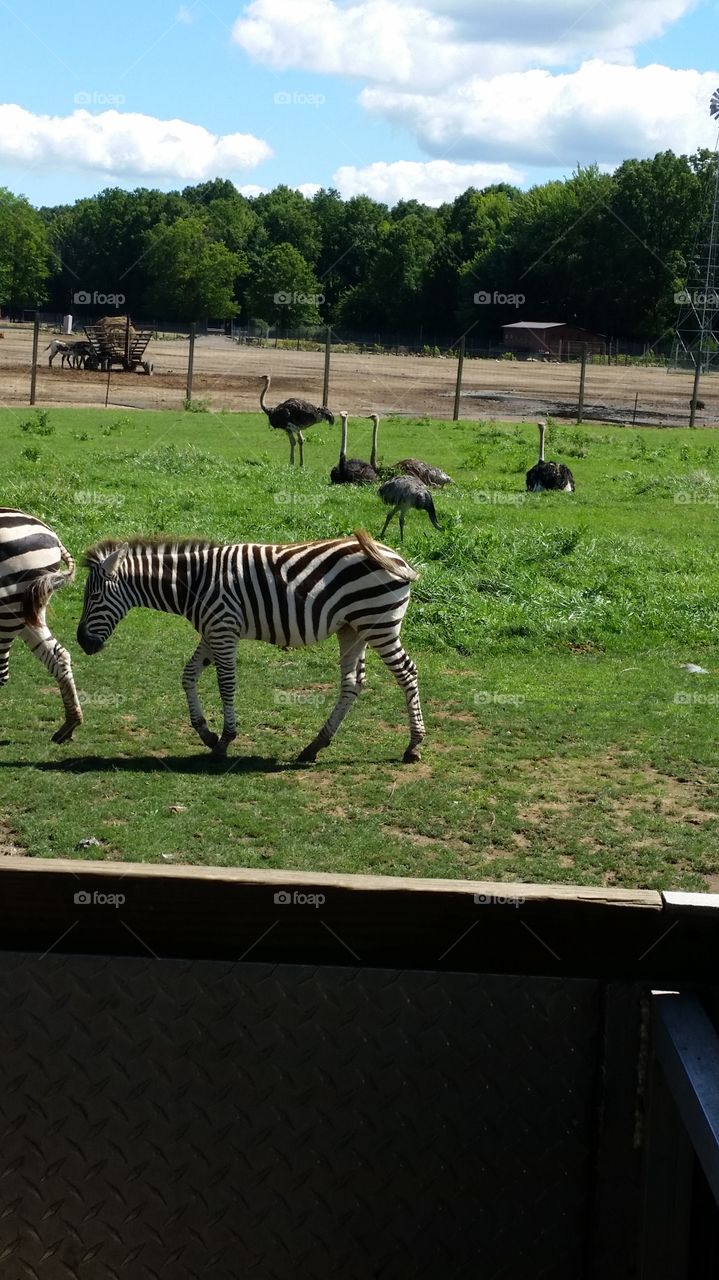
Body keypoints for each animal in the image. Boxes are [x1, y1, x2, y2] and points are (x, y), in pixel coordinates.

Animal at [77, 529, 425, 763]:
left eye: (94, 597)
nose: (82, 642)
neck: (194, 584)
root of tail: (396, 556)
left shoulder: (223, 629)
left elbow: (226, 683)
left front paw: (225, 740)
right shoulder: (212, 631)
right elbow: (188, 675)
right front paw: (205, 732)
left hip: (379, 624)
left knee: (407, 673)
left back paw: (414, 745)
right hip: (353, 629)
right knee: (353, 684)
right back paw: (314, 746)